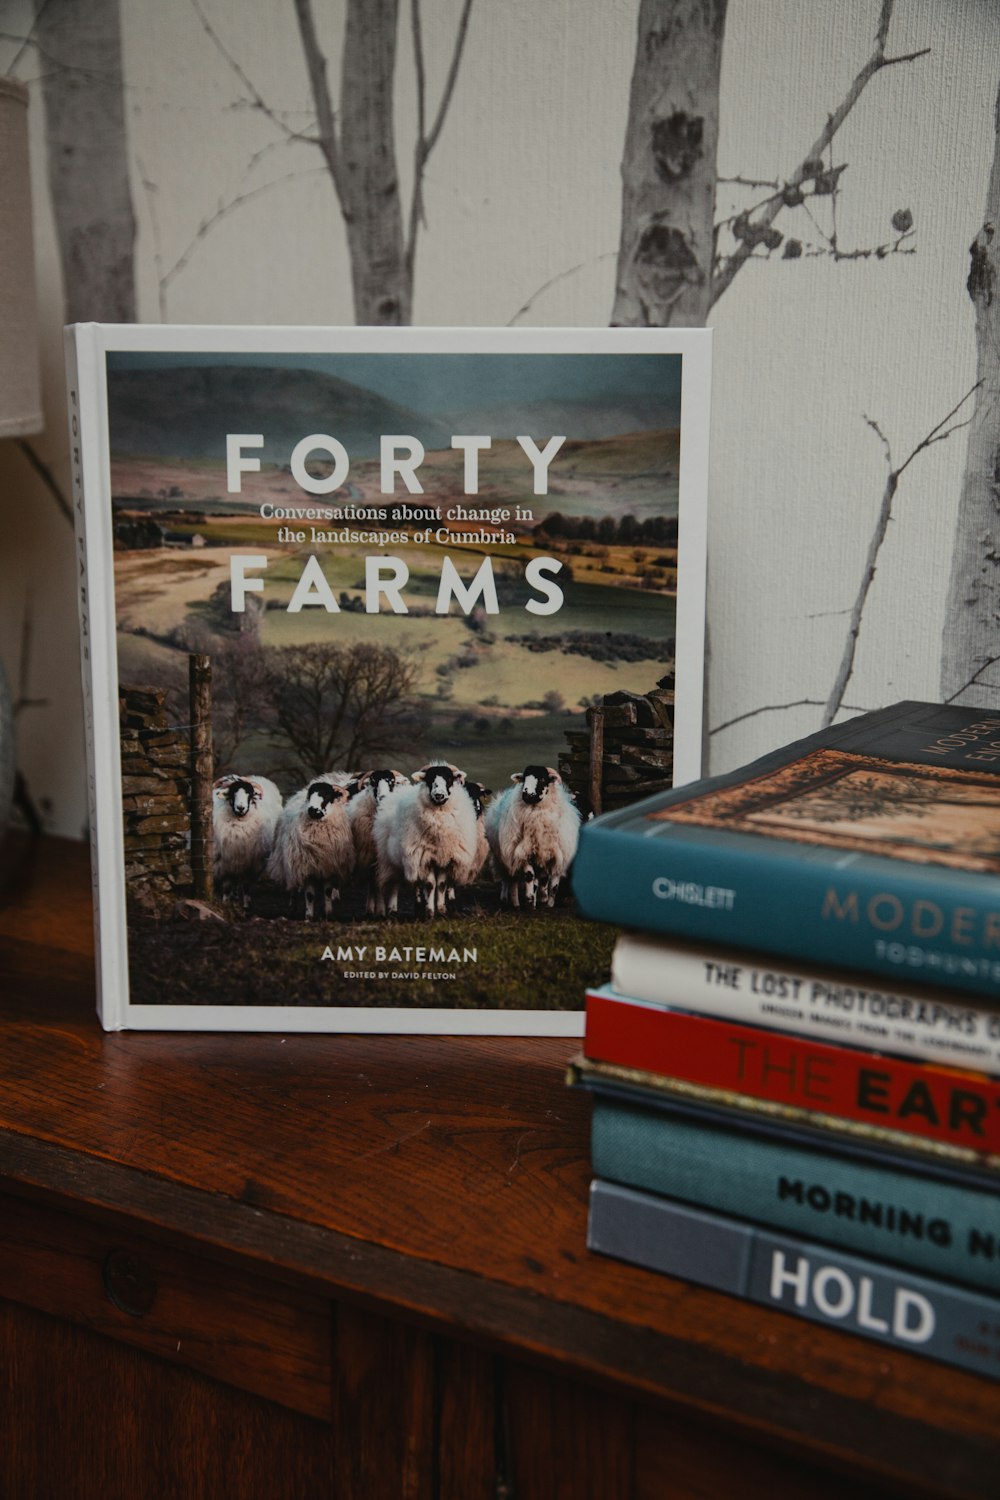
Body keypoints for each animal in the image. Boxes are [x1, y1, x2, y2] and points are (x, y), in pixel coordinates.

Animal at [212, 774, 283, 912]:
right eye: (232, 793)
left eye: (249, 794)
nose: (241, 808)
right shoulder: (225, 862)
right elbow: (226, 886)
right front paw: (226, 903)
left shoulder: (252, 863)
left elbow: (246, 885)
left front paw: (246, 905)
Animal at [268, 780, 358, 918]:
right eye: (310, 795)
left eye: (327, 794)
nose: (312, 810)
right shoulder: (307, 868)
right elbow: (310, 895)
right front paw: (309, 916)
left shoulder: (328, 867)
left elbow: (327, 891)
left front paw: (327, 912)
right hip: (290, 864)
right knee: (293, 887)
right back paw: (293, 906)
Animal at [350, 774, 413, 912]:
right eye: (373, 782)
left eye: (392, 782)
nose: (382, 797)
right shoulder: (371, 857)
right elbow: (375, 883)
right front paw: (376, 908)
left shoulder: (390, 856)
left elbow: (392, 882)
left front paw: (391, 907)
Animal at [377, 762, 482, 912]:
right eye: (430, 779)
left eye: (449, 779)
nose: (439, 795)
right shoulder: (425, 857)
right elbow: (430, 885)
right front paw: (430, 911)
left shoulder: (446, 858)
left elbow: (442, 885)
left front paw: (441, 909)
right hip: (390, 859)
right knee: (395, 884)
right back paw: (393, 908)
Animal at [482, 768, 578, 906]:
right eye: (524, 779)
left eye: (542, 779)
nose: (527, 794)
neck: (537, 813)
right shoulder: (523, 852)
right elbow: (529, 876)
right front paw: (529, 899)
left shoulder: (552, 855)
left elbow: (550, 883)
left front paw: (546, 902)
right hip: (504, 857)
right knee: (510, 880)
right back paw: (511, 901)